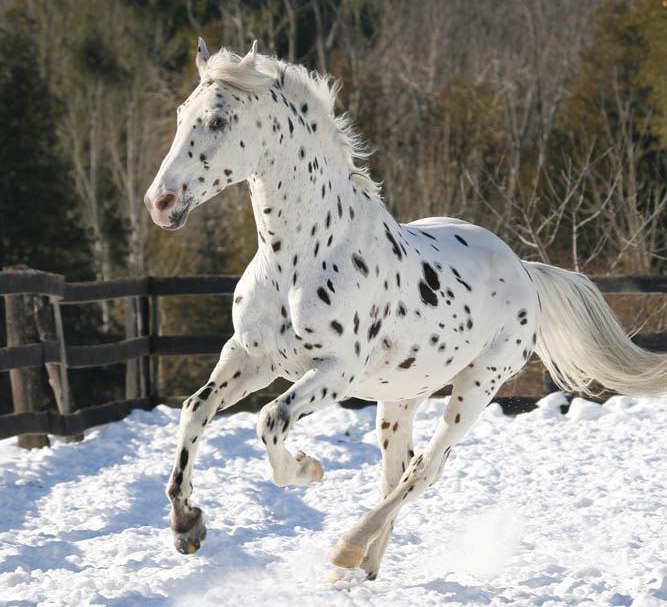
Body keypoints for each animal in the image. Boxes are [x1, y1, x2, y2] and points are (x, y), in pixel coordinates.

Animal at [145, 40, 667, 580]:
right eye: (182, 115)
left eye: (219, 120)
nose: (159, 202)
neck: (299, 259)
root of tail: (523, 268)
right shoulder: (250, 357)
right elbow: (196, 409)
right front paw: (187, 527)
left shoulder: (336, 372)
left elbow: (271, 419)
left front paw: (307, 468)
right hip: (400, 398)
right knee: (396, 471)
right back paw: (359, 568)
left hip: (478, 385)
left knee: (426, 469)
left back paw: (347, 549)